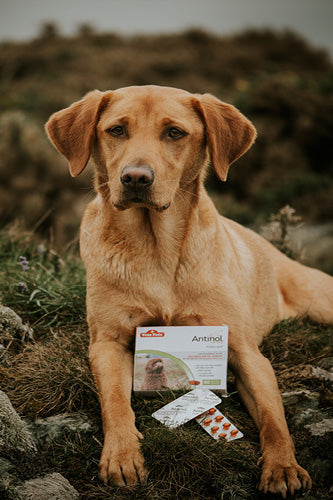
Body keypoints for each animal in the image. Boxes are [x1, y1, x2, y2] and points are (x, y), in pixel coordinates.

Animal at [45, 86, 330, 496]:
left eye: (175, 133)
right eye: (116, 130)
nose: (135, 178)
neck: (157, 250)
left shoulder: (245, 351)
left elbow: (274, 417)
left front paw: (283, 466)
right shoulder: (106, 343)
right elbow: (114, 401)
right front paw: (121, 455)